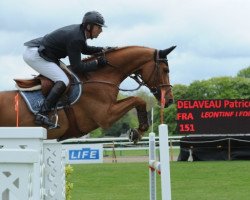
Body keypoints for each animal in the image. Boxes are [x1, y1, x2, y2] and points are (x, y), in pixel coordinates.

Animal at [0, 45, 175, 142]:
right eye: (165, 70)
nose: (170, 100)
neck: (100, 77)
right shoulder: (105, 116)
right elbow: (138, 100)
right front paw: (138, 131)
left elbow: (137, 100)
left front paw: (137, 131)